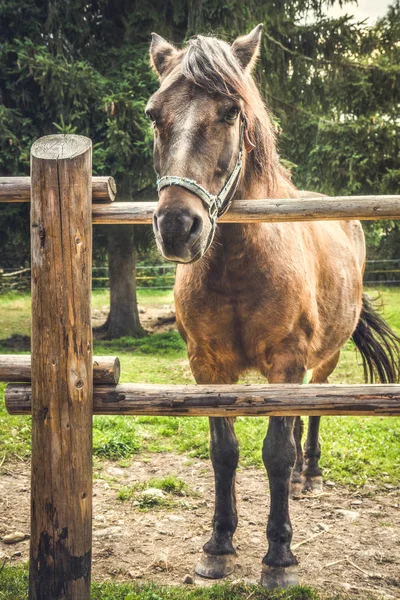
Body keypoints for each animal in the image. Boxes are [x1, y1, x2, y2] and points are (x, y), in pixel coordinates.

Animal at [146, 25, 400, 588]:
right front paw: (218, 545)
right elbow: (224, 454)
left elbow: (276, 454)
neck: (239, 269)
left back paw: (311, 474)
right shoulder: (207, 368)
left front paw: (278, 555)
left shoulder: (286, 361)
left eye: (230, 111)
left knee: (315, 409)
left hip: (322, 361)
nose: (177, 226)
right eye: (153, 114)